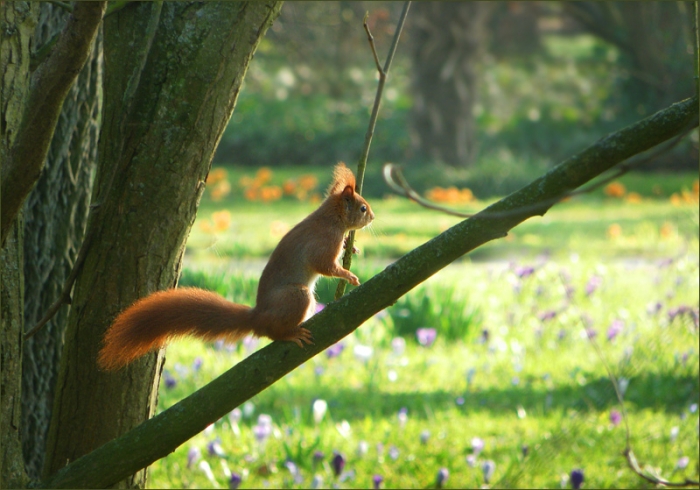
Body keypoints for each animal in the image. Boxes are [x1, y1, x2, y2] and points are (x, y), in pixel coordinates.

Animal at [97, 162, 374, 371]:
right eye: (362, 208)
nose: (372, 217)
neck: (332, 218)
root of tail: (257, 316)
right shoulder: (323, 242)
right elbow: (325, 265)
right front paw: (348, 275)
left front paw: (352, 249)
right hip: (297, 296)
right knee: (270, 331)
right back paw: (289, 334)